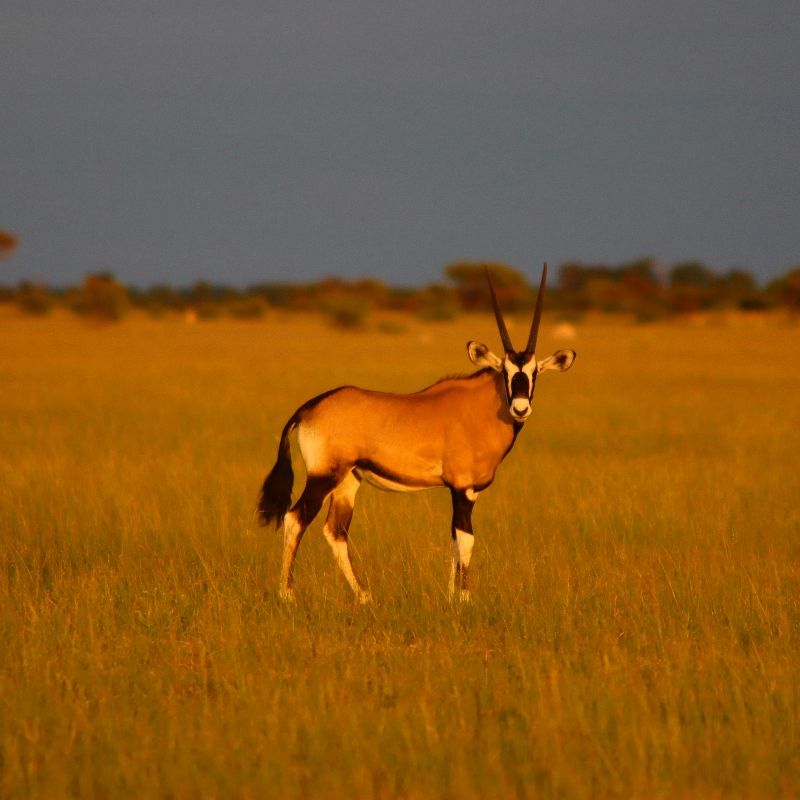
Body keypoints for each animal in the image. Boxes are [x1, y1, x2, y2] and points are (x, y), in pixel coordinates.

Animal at [258, 264, 575, 602]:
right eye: (505, 371)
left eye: (534, 372)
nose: (520, 408)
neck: (482, 408)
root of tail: (308, 408)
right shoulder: (463, 488)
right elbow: (466, 540)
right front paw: (465, 599)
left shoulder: (460, 491)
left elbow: (454, 539)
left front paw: (450, 596)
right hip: (323, 477)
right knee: (295, 519)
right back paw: (287, 594)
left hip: (347, 481)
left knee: (335, 531)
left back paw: (364, 596)